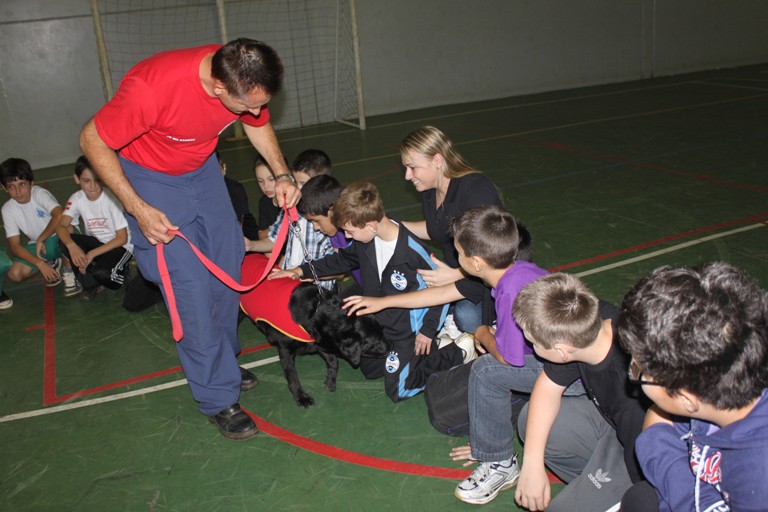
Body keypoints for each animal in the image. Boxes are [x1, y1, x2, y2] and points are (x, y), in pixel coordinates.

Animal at [242, 254, 388, 406]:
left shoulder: (319, 341)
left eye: (382, 333)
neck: (315, 313)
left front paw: (330, 380)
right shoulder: (285, 350)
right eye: (375, 342)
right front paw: (301, 397)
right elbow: (292, 376)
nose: (390, 348)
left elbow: (333, 362)